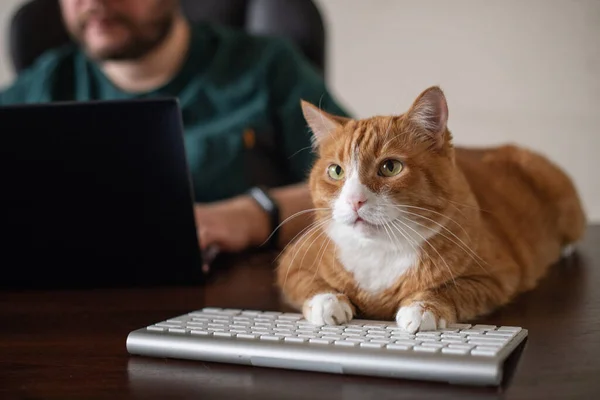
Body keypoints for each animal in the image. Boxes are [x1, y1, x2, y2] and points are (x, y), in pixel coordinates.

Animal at [276, 86, 584, 332]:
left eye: (390, 167)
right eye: (336, 171)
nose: (355, 200)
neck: (380, 250)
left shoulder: (498, 276)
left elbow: (453, 289)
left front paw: (423, 307)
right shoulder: (291, 264)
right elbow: (306, 283)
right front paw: (328, 301)